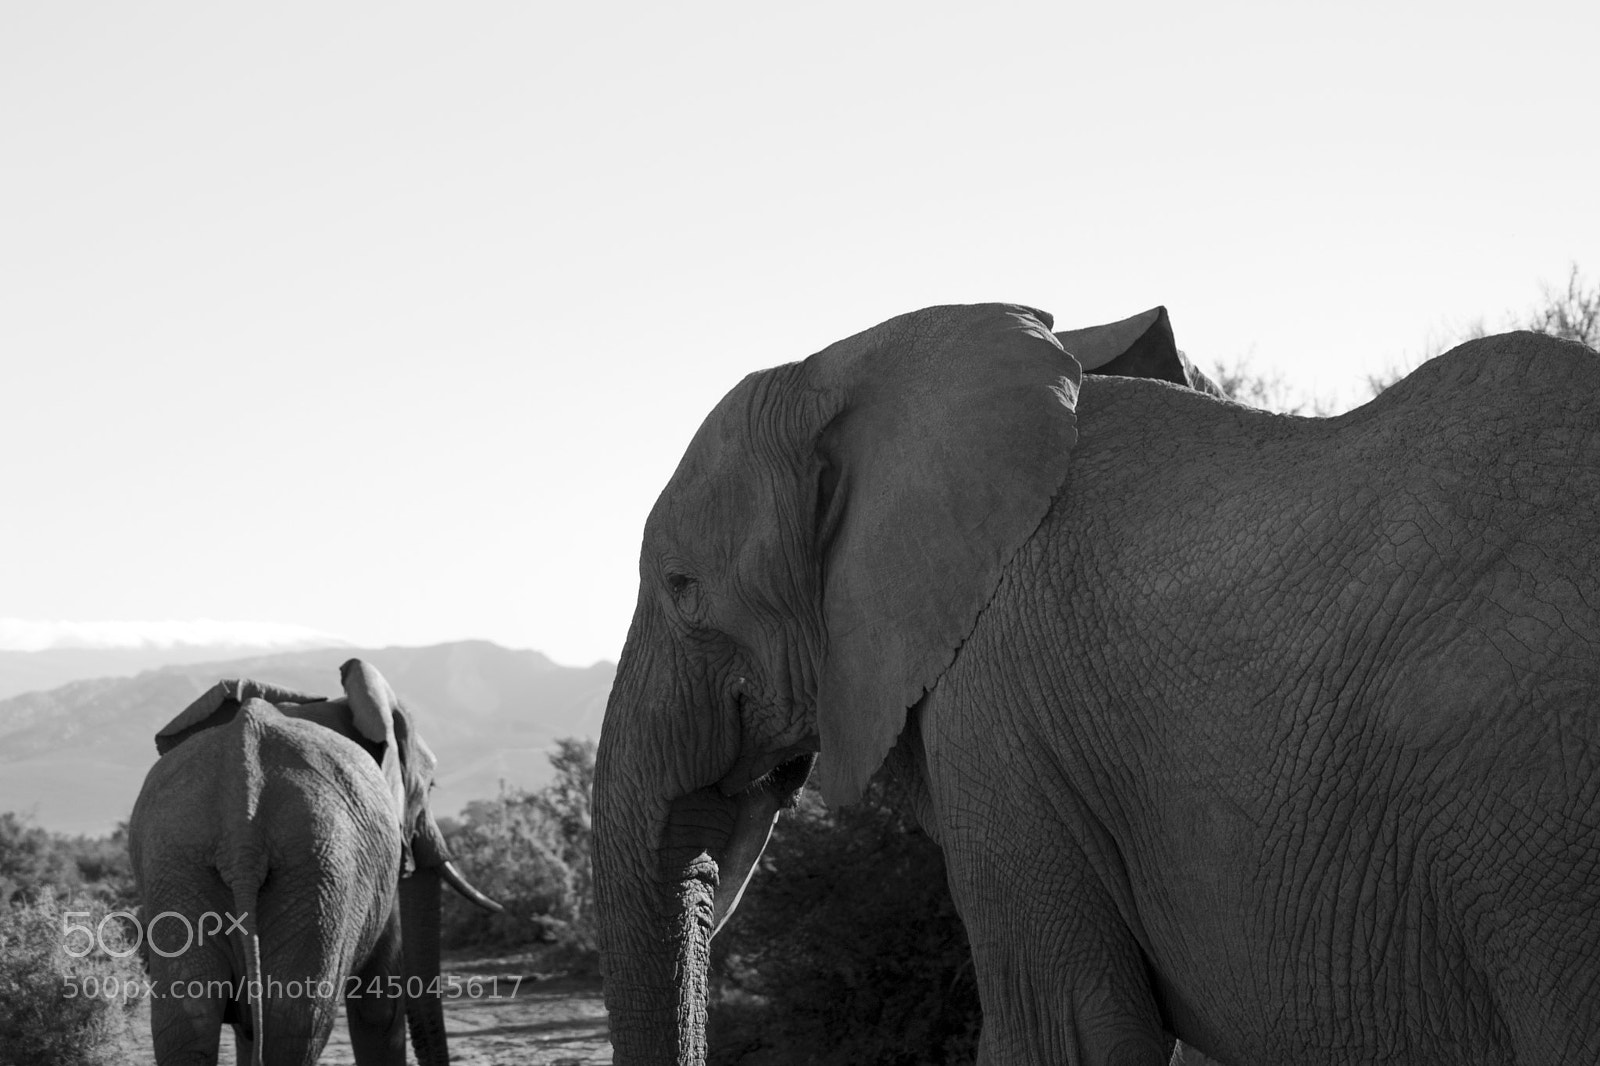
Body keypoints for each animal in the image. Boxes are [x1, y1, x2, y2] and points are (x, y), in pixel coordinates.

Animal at [129, 658, 502, 1066]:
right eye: (431, 786)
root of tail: (240, 800)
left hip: (176, 858)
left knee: (188, 1019)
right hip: (320, 863)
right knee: (296, 1021)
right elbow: (379, 1003)